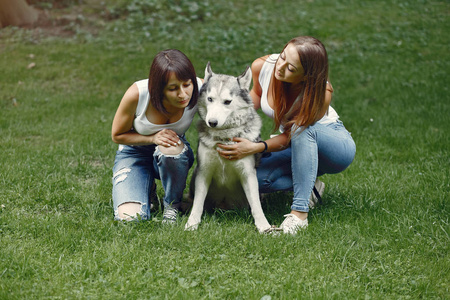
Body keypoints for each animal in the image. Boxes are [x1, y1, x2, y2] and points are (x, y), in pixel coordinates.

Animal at [185, 62, 272, 232]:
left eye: (227, 102)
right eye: (210, 99)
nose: (212, 122)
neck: (223, 139)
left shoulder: (248, 174)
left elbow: (256, 206)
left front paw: (264, 227)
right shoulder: (204, 172)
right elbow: (198, 203)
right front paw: (191, 224)